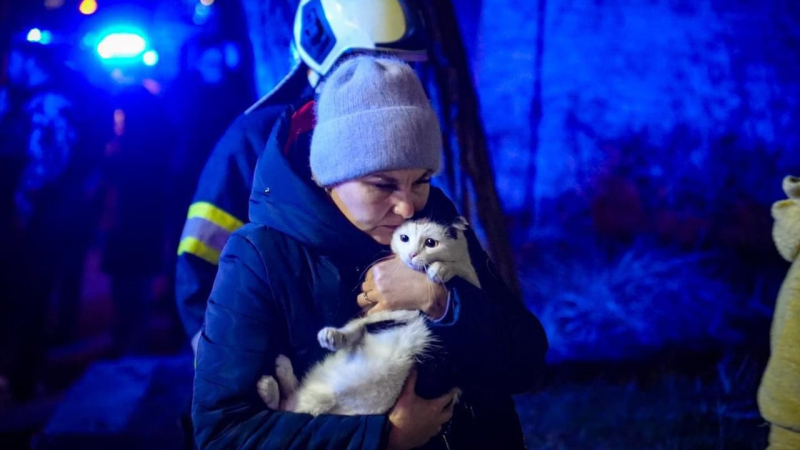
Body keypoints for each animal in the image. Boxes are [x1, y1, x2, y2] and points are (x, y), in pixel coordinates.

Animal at [260, 216, 478, 416]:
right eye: (404, 238)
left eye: (431, 243)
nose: (412, 254)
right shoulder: (379, 316)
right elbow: (353, 328)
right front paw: (333, 337)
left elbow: (461, 268)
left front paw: (441, 269)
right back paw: (276, 377)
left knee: (287, 406)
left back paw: (270, 383)